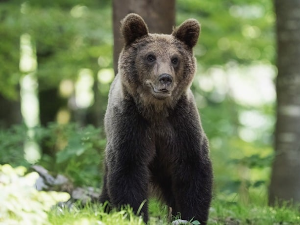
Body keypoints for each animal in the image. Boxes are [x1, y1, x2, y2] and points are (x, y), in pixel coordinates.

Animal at [99, 13, 212, 224]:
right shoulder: (131, 125)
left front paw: (192, 215)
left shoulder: (181, 125)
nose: (165, 78)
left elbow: (193, 168)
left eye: (175, 59)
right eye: (150, 57)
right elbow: (128, 170)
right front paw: (134, 214)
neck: (156, 111)